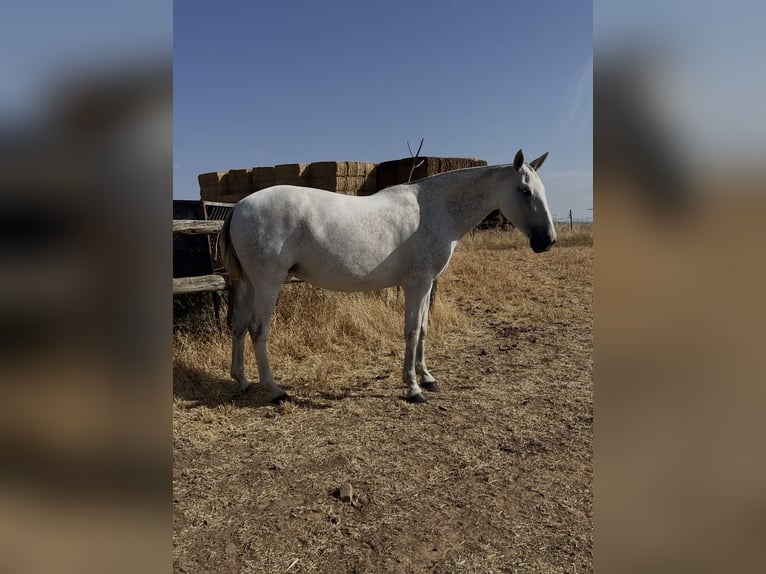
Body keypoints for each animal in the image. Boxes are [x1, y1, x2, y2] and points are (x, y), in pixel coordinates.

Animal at [218, 149, 556, 404]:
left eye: (542, 191)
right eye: (525, 191)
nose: (548, 241)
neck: (435, 210)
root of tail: (239, 206)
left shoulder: (426, 284)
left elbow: (424, 328)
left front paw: (427, 377)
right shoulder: (417, 284)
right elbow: (412, 331)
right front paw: (413, 387)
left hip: (248, 284)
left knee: (239, 326)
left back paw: (242, 381)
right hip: (268, 284)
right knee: (258, 331)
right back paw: (275, 390)